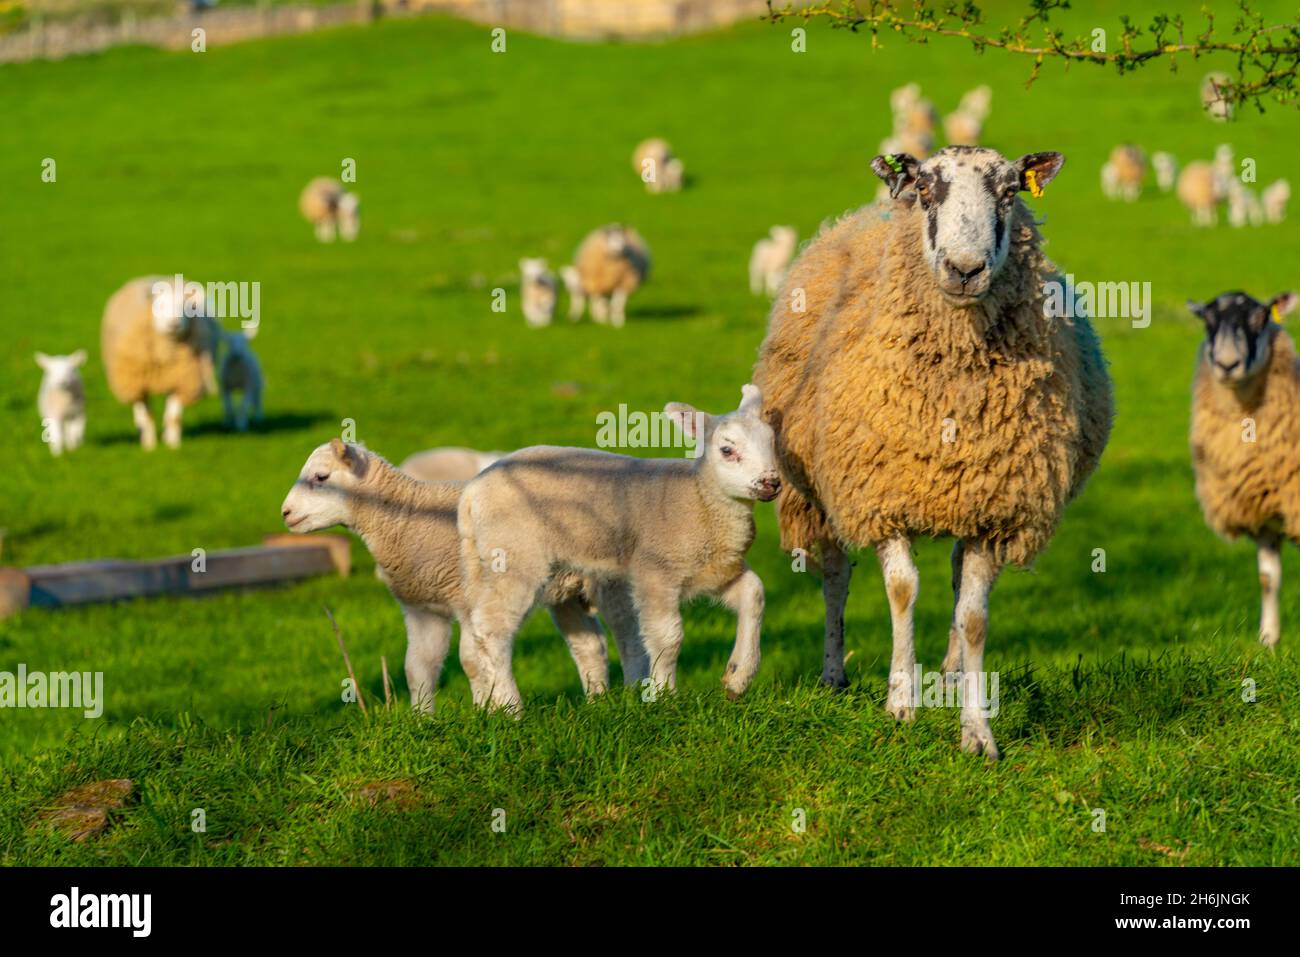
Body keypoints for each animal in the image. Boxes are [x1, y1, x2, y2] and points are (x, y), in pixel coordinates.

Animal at [101, 276, 219, 450]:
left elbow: (174, 417)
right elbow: (147, 415)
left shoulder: (182, 380)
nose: (174, 325)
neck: (165, 353)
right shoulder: (138, 382)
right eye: (161, 306)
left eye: (187, 308)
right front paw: (149, 445)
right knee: (138, 409)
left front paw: (173, 444)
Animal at [280, 439, 646, 711]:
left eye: (321, 477)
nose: (285, 513)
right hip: (567, 591)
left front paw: (486, 712)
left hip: (611, 579)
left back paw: (635, 696)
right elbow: (417, 668)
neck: (405, 520)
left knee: (628, 633)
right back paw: (597, 701)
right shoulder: (422, 609)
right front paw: (423, 721)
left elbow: (470, 661)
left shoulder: (467, 601)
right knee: (590, 644)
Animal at [457, 385, 781, 712]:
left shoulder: (716, 570)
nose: (771, 483)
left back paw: (489, 707)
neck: (700, 498)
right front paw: (664, 697)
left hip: (508, 569)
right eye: (727, 450)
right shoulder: (655, 572)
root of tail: (472, 494)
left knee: (478, 637)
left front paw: (738, 679)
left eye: (772, 443)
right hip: (515, 555)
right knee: (491, 628)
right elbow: (668, 637)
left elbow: (755, 594)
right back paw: (511, 708)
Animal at [753, 146, 1114, 759]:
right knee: (835, 575)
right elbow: (901, 592)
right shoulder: (883, 493)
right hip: (820, 490)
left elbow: (973, 617)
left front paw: (977, 729)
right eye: (925, 187)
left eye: (1011, 191)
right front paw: (901, 704)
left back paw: (948, 673)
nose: (965, 270)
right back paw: (834, 675)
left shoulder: (994, 505)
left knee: (953, 575)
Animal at [1188, 290, 1300, 648]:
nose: (1227, 365)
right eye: (1207, 320)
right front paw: (1268, 641)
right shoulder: (1263, 510)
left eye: (1261, 317)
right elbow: (1268, 577)